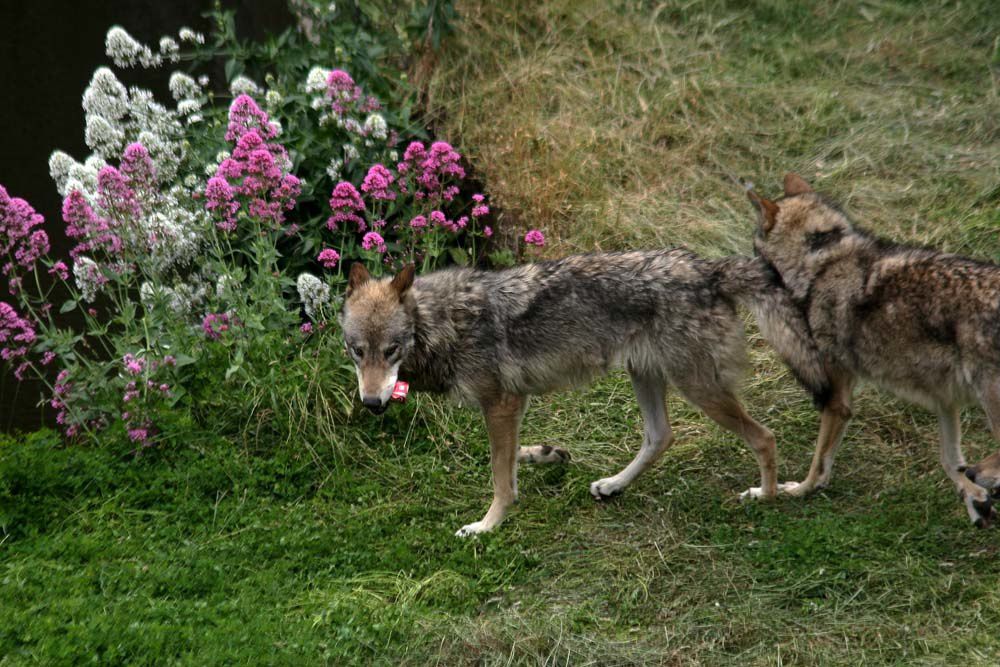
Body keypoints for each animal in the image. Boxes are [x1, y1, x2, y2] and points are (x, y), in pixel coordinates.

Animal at [340, 250, 824, 536]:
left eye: (391, 349)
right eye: (357, 351)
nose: (372, 403)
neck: (442, 323)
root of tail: (709, 270)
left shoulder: (501, 404)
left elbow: (499, 477)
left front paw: (486, 525)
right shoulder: (513, 405)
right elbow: (506, 461)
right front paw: (545, 455)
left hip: (698, 389)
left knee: (764, 437)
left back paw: (766, 496)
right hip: (646, 376)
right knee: (661, 437)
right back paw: (613, 485)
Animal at [752, 175, 1000, 528]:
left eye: (753, 248)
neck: (823, 259)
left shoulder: (837, 400)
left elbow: (818, 464)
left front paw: (798, 491)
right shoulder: (944, 398)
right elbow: (951, 461)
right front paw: (976, 501)